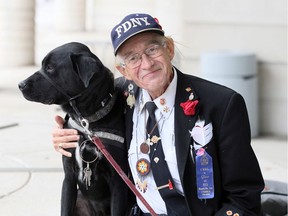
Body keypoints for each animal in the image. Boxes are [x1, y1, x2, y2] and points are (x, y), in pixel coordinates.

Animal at [18, 42, 129, 216]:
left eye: (50, 67)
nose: (20, 84)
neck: (87, 122)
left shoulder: (118, 182)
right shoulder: (69, 178)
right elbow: (65, 207)